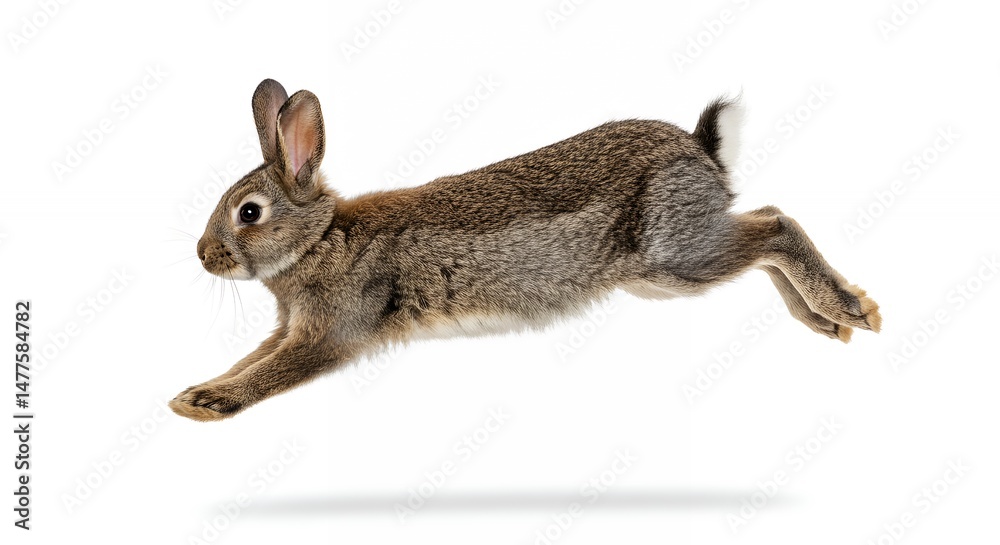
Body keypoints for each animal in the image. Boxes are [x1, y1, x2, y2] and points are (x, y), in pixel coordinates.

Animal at [169, 79, 881, 422]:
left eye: (249, 213)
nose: (203, 256)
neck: (318, 238)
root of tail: (702, 150)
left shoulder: (330, 332)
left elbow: (275, 371)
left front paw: (205, 406)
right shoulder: (290, 327)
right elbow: (253, 358)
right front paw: (195, 391)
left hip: (675, 257)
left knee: (777, 228)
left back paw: (849, 308)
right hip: (666, 270)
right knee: (763, 227)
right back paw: (827, 320)